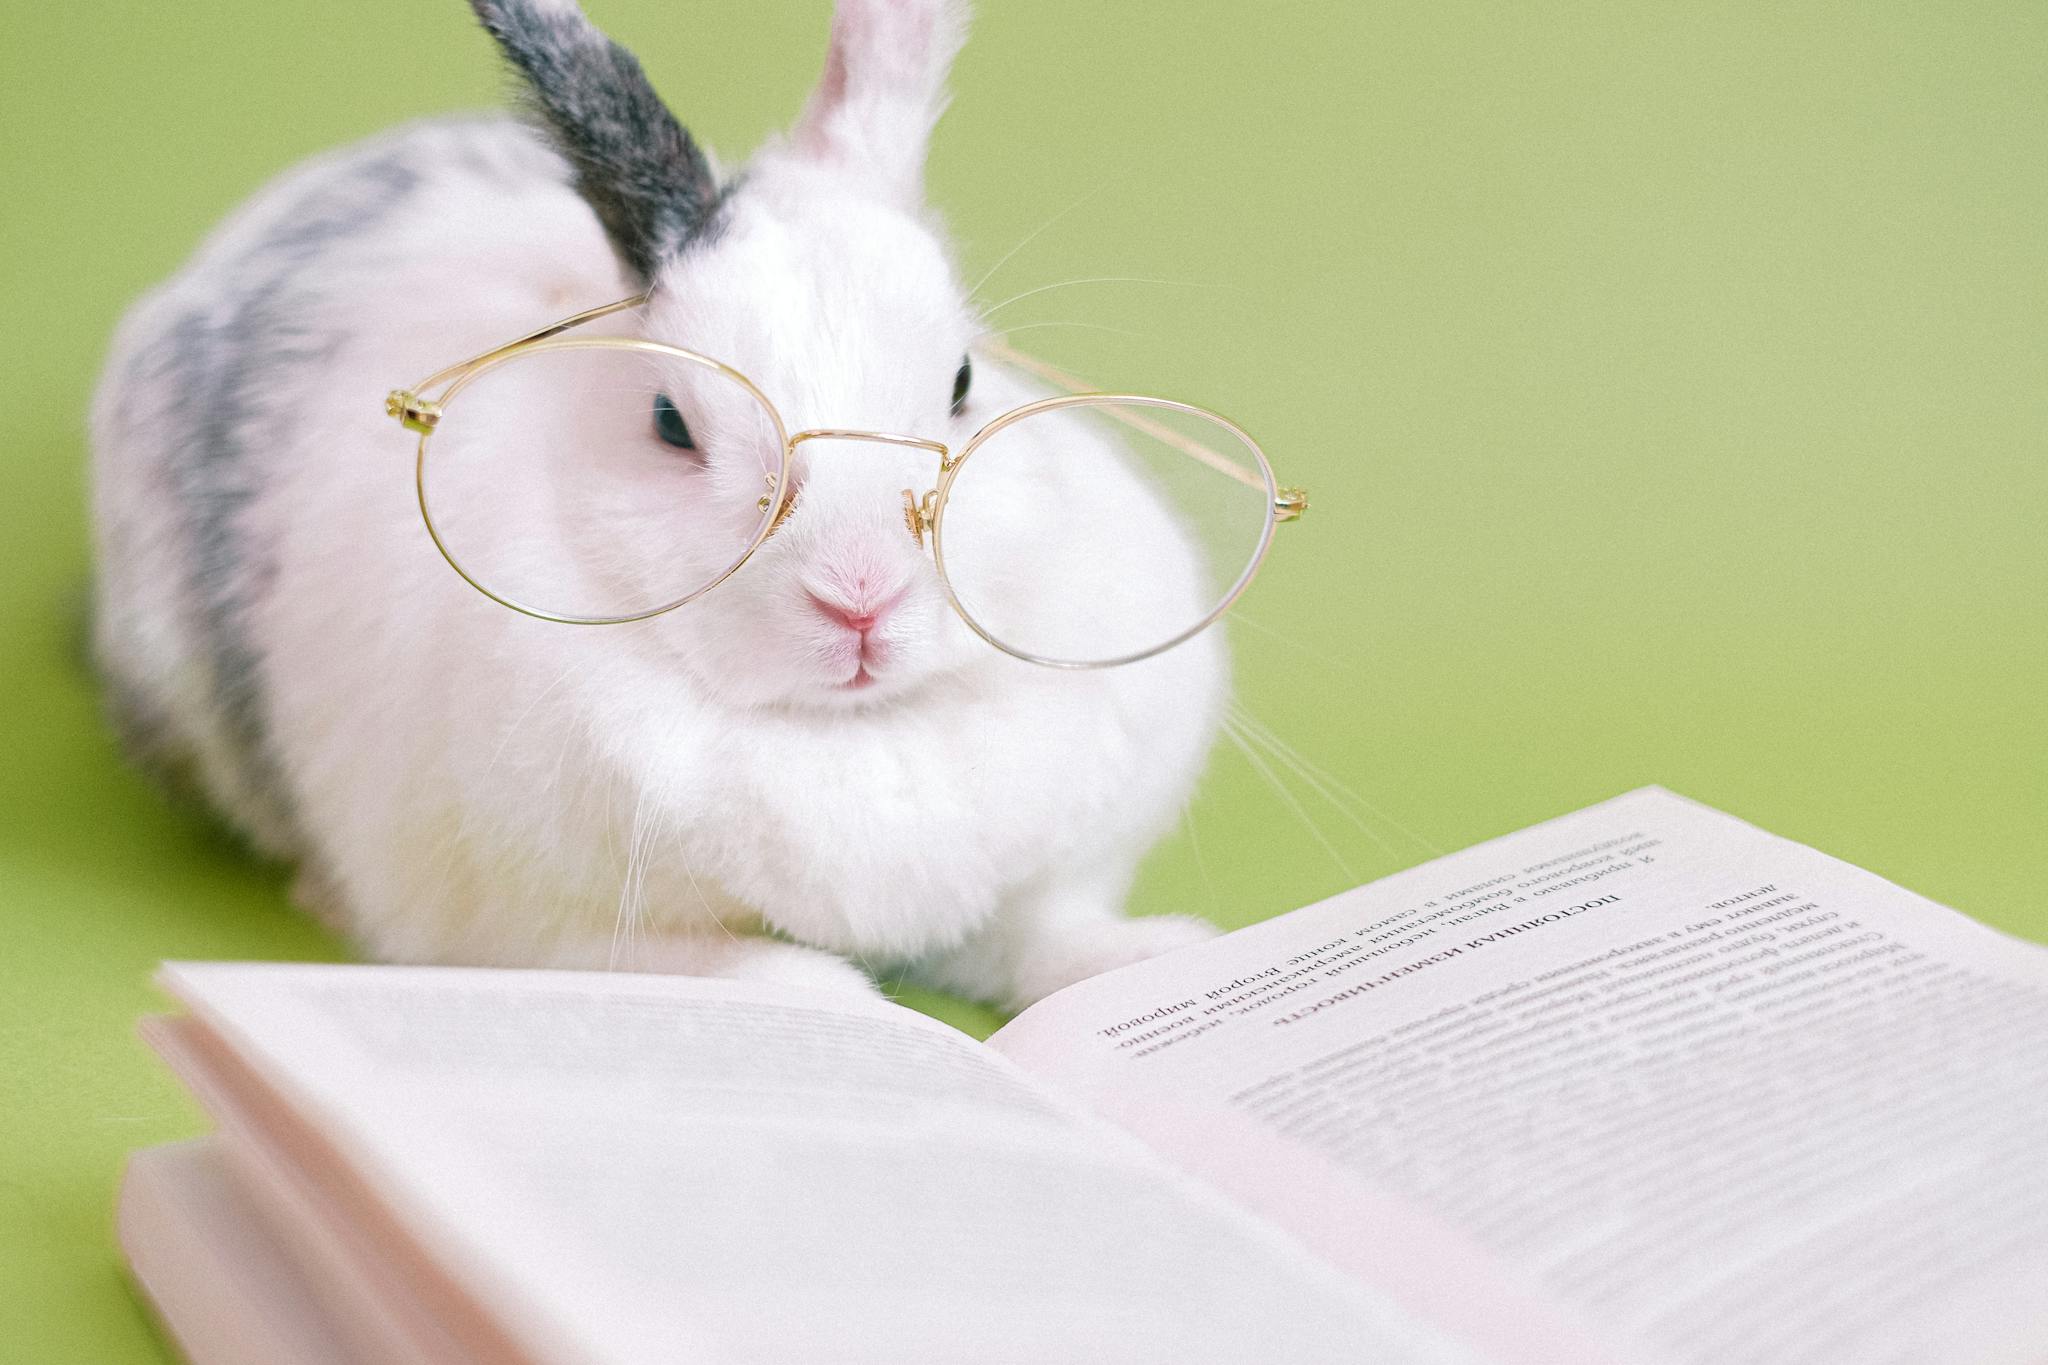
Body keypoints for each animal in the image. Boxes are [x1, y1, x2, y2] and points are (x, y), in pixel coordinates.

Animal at [89, 0, 1227, 1011]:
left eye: (961, 382)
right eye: (671, 423)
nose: (861, 596)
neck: (847, 733)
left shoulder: (1038, 885)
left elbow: (1043, 940)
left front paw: (1157, 956)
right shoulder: (528, 927)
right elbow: (704, 967)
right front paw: (829, 996)